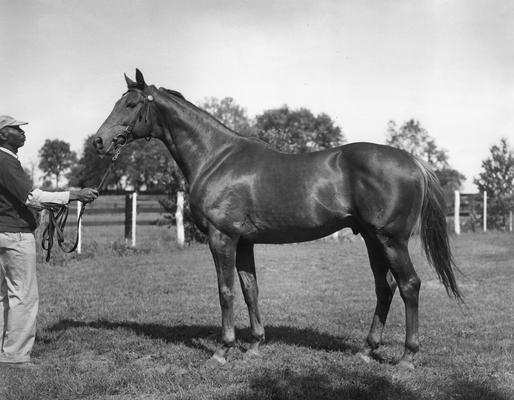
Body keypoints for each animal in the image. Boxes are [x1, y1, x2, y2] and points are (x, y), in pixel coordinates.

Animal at [92, 68, 460, 368]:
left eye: (131, 104)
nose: (98, 141)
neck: (216, 158)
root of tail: (412, 161)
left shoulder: (222, 237)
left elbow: (225, 290)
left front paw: (222, 351)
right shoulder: (244, 242)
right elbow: (249, 289)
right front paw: (255, 346)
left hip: (391, 239)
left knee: (409, 285)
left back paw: (407, 358)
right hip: (372, 239)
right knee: (385, 288)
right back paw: (367, 350)